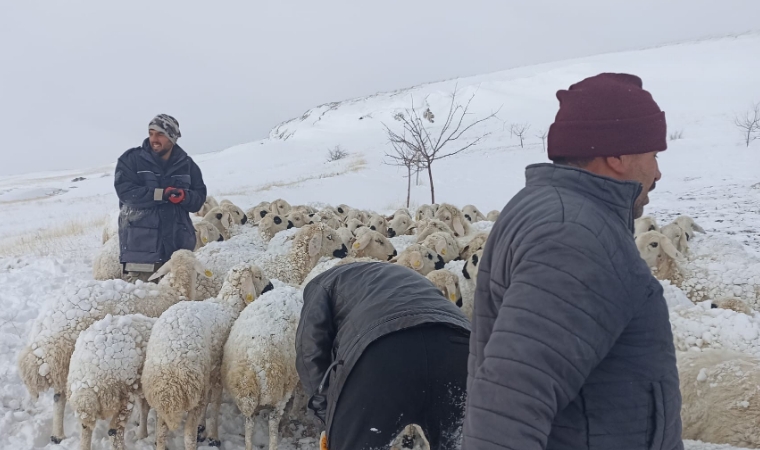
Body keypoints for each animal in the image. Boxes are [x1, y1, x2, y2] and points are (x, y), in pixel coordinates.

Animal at [67, 314, 157, 450]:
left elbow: (143, 408)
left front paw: (142, 433)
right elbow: (144, 409)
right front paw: (143, 433)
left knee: (86, 430)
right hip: (122, 397)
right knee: (114, 432)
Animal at [144, 264, 266, 450]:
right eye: (258, 276)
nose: (270, 287)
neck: (228, 305)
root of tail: (169, 382)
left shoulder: (210, 373)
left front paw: (203, 426)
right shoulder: (217, 374)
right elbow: (215, 405)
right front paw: (213, 436)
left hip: (162, 395)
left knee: (162, 431)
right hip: (195, 391)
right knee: (188, 434)